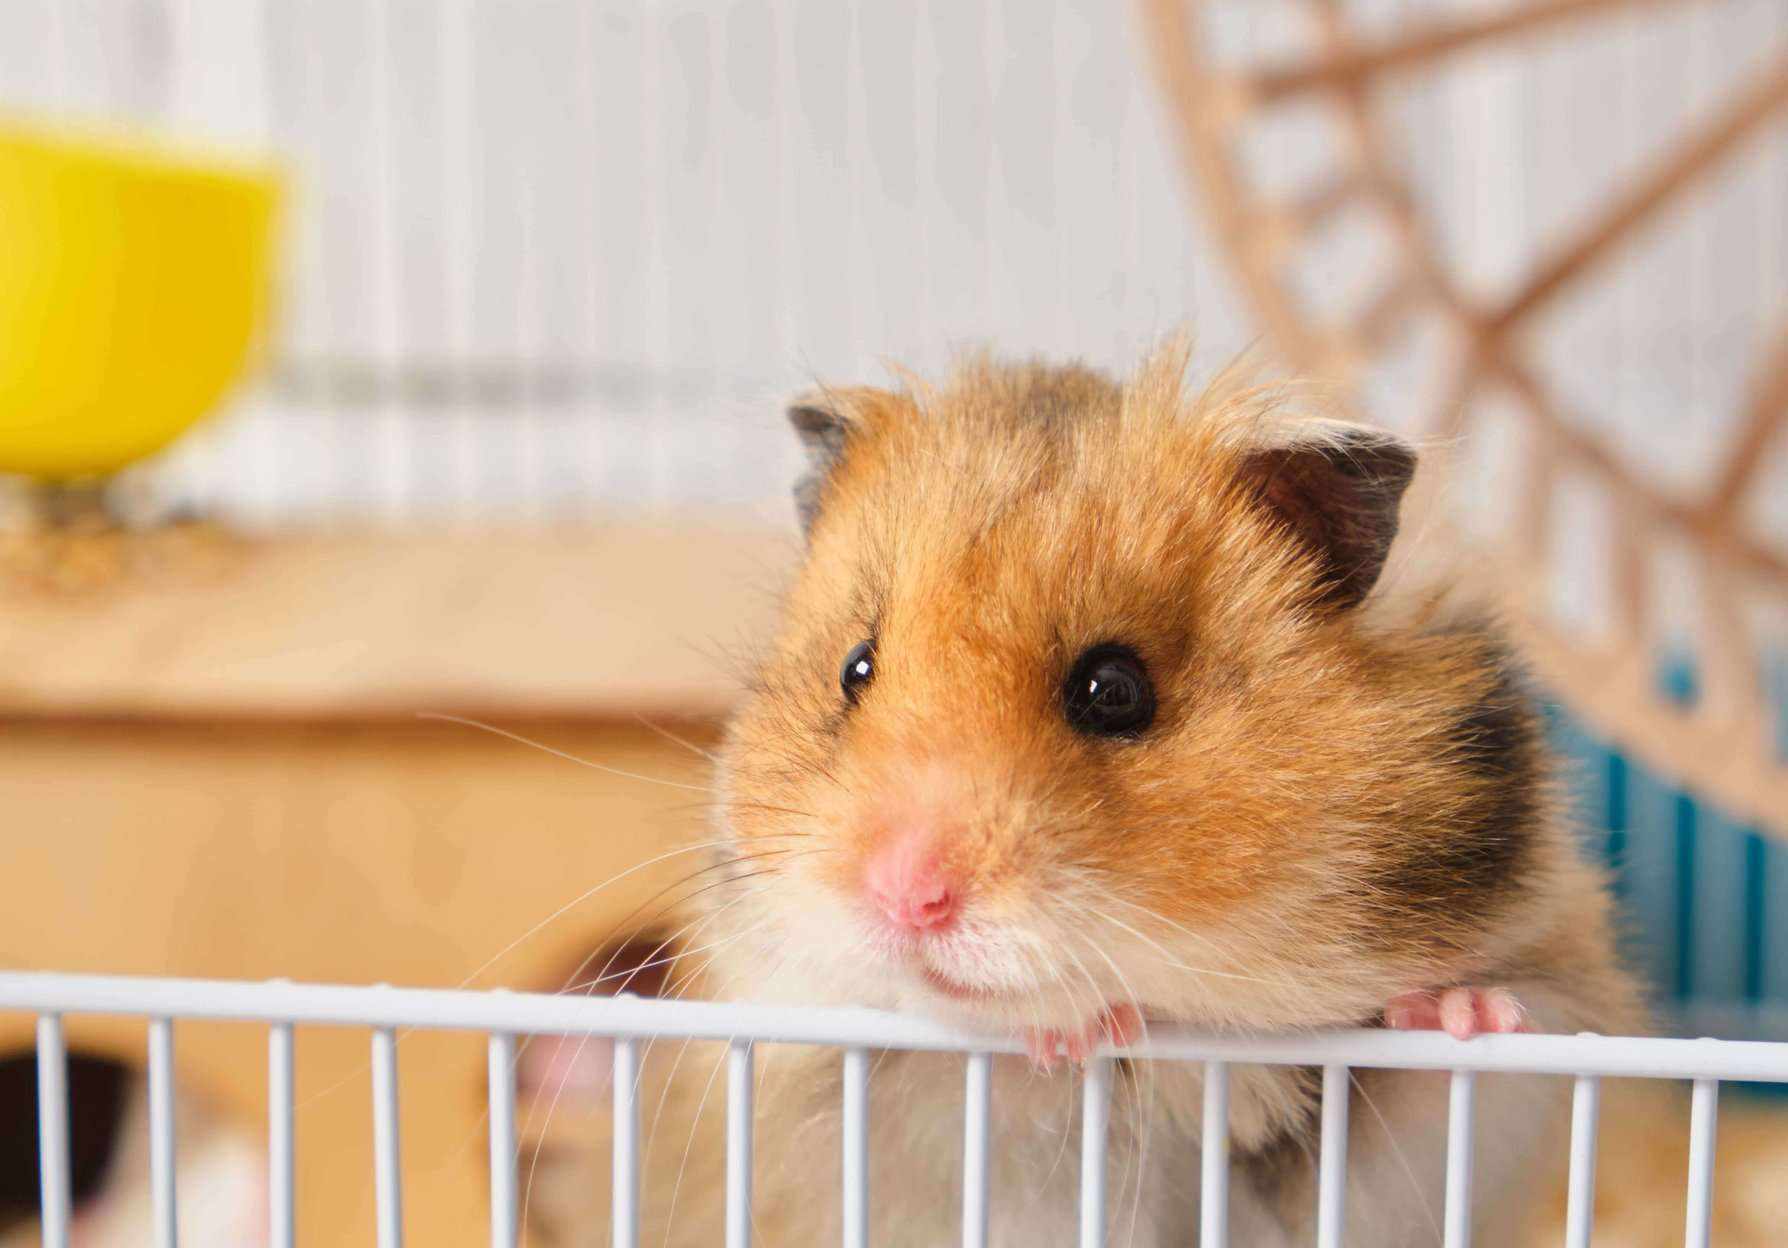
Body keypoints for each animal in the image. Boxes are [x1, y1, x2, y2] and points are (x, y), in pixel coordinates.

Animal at [658, 340, 1643, 1246]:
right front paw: (1066, 1040)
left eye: (1114, 690)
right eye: (854, 670)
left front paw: (1467, 1015)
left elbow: (1432, 1085)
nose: (906, 897)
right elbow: (986, 1082)